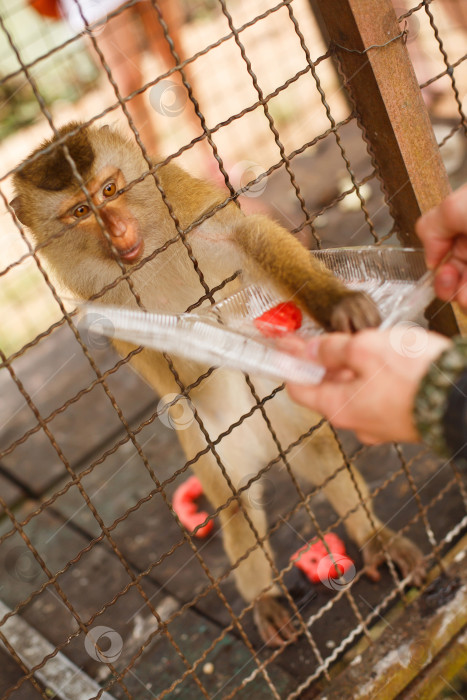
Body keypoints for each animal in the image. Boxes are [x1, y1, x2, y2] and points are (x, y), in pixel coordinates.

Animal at [11, 123, 428, 648]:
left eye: (109, 189)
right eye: (81, 212)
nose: (119, 229)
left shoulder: (187, 213)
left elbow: (248, 235)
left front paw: (336, 302)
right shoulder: (97, 302)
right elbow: (158, 351)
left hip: (286, 410)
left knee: (323, 455)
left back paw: (372, 535)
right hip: (217, 446)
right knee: (236, 509)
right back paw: (264, 598)